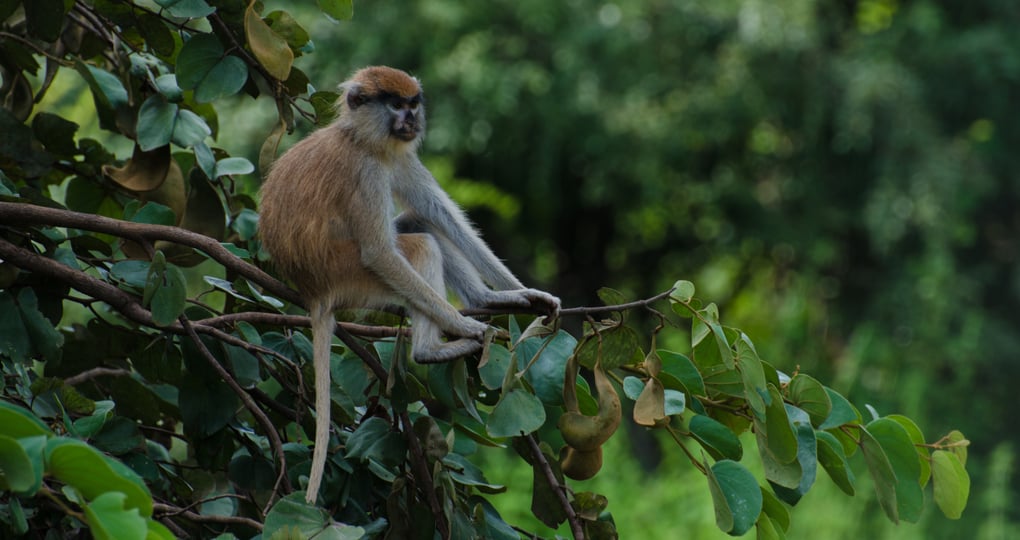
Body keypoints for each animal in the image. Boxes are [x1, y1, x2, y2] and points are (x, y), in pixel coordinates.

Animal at [258, 66, 560, 504]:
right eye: (395, 104)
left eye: (413, 103)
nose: (412, 119)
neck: (361, 137)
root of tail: (314, 289)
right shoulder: (366, 172)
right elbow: (380, 252)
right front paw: (465, 325)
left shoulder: (396, 155)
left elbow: (437, 210)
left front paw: (519, 293)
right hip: (351, 277)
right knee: (418, 245)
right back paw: (430, 350)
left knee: (420, 223)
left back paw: (484, 299)